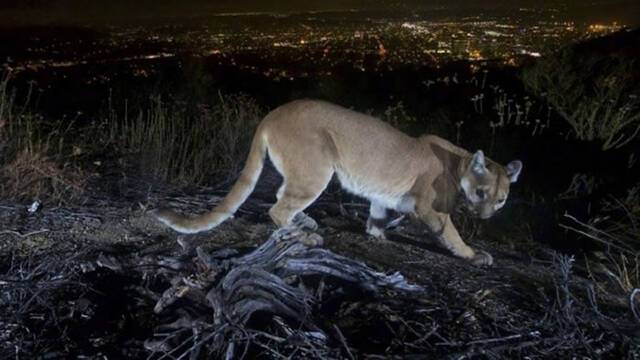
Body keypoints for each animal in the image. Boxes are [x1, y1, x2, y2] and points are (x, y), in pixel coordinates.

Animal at [152, 100, 524, 266]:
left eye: (501, 199)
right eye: (481, 192)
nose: (486, 216)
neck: (459, 162)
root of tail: (272, 113)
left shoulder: (382, 195)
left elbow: (378, 213)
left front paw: (377, 233)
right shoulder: (431, 208)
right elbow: (450, 233)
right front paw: (473, 254)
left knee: (281, 196)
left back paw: (306, 221)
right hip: (317, 169)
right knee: (277, 207)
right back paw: (305, 234)